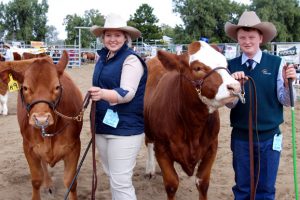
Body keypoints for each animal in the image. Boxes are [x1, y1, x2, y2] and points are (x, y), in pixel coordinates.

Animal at [0, 50, 82, 199]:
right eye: (25, 88)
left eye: (57, 87)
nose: (41, 119)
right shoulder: (28, 148)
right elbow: (36, 180)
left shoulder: (74, 147)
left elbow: (71, 182)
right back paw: (48, 183)